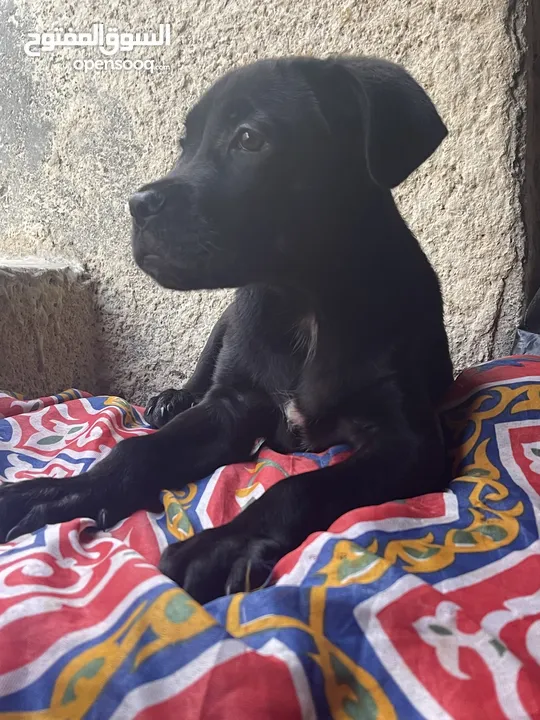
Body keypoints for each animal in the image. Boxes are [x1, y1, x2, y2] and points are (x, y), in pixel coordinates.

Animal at [0, 59, 452, 604]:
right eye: (184, 143)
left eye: (249, 138)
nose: (137, 204)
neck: (301, 303)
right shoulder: (231, 404)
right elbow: (138, 449)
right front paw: (57, 491)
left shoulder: (410, 442)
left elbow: (300, 486)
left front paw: (221, 546)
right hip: (223, 328)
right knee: (199, 376)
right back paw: (171, 399)